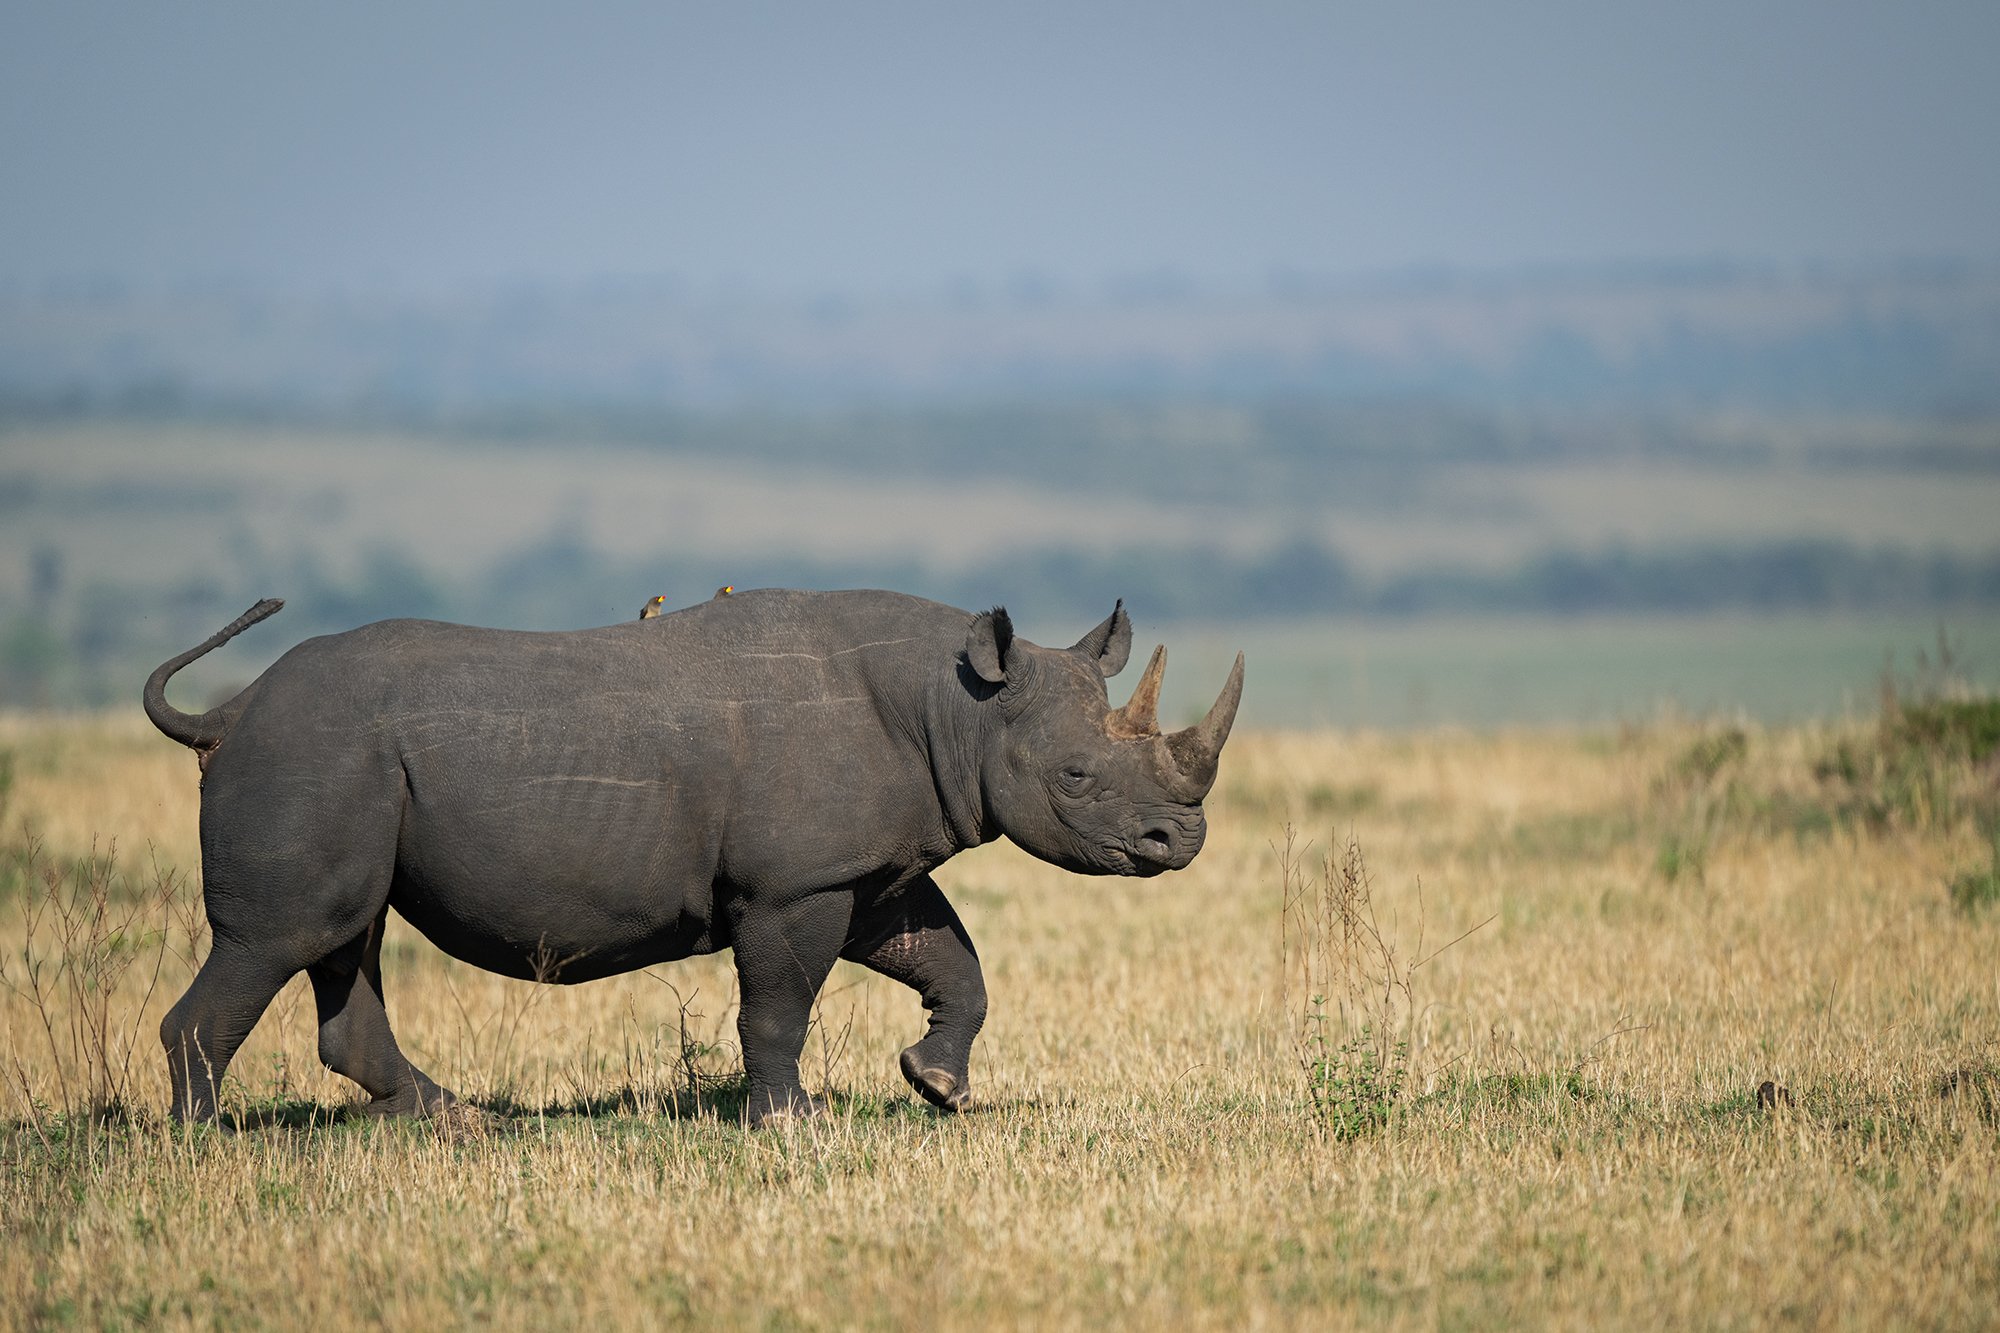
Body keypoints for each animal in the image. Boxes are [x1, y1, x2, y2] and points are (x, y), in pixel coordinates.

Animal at [143, 589, 1243, 1126]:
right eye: (1074, 777)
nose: (1180, 841)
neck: (960, 706)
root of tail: (229, 714)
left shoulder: (863, 869)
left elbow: (954, 962)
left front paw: (938, 1087)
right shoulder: (793, 883)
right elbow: (779, 1005)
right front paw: (791, 1125)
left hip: (345, 762)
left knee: (344, 936)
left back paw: (460, 1125)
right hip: (314, 754)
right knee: (284, 936)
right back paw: (202, 1145)